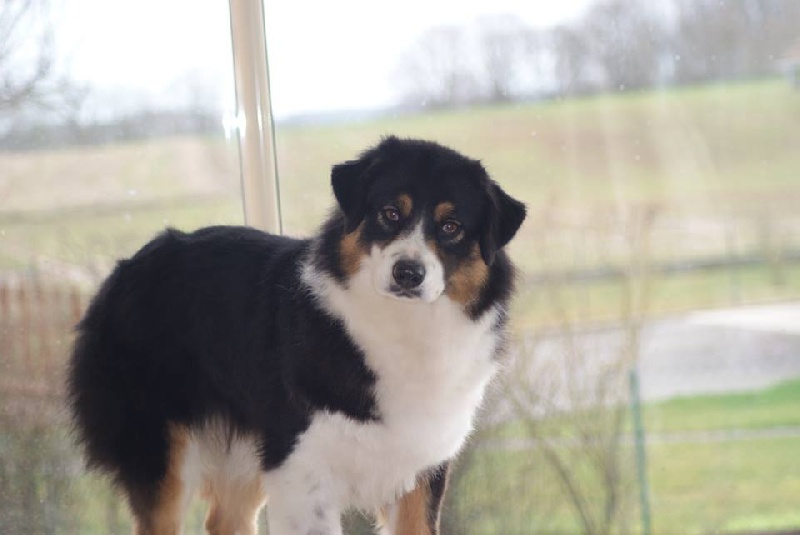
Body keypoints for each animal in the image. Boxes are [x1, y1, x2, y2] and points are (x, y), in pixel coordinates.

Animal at [67, 136, 526, 535]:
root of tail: (127, 267)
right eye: (390, 213)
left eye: (451, 226)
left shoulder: (421, 469)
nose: (408, 273)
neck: (403, 329)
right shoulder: (301, 469)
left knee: (225, 520)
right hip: (163, 452)